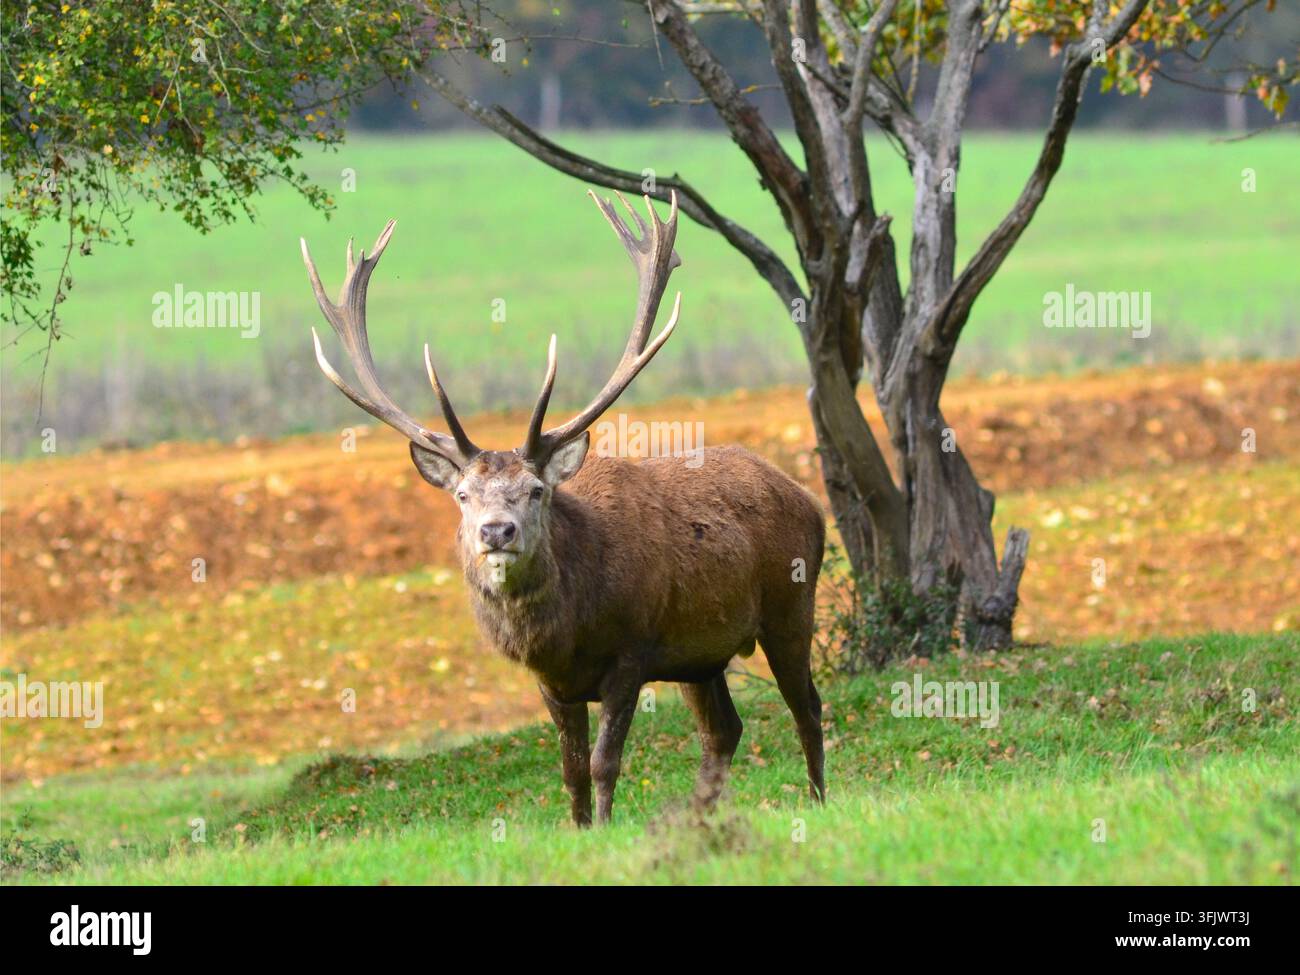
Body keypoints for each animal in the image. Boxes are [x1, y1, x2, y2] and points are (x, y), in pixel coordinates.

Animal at [299, 190, 826, 826]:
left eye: (535, 490)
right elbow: (570, 770)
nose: (496, 532)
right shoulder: (551, 681)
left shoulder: (633, 650)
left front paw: (605, 828)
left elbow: (604, 763)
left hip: (790, 604)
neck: (569, 627)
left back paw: (819, 799)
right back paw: (695, 818)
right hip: (700, 654)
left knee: (808, 707)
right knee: (724, 730)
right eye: (462, 495)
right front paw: (579, 829)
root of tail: (809, 499)